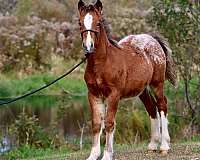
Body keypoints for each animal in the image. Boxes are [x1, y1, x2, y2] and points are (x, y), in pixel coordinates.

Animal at [77, 0, 176, 159]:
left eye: (98, 23)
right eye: (80, 23)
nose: (88, 47)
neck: (103, 63)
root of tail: (152, 39)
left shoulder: (114, 95)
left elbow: (109, 123)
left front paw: (107, 155)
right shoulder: (93, 95)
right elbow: (97, 124)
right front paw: (93, 155)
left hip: (157, 83)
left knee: (162, 105)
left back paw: (164, 146)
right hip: (142, 89)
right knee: (151, 108)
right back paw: (153, 145)